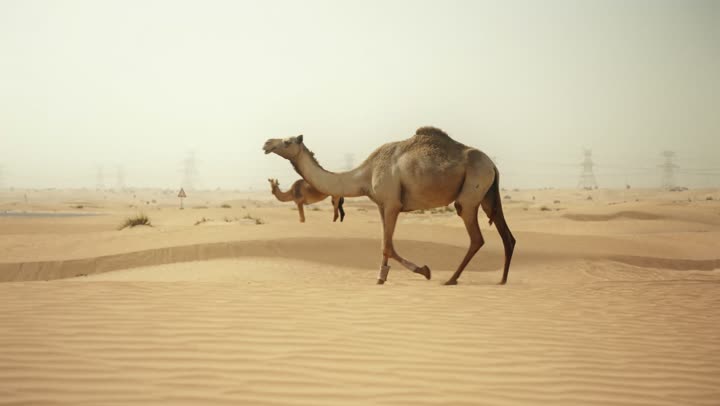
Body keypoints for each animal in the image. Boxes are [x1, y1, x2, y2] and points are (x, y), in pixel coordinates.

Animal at [263, 126, 516, 285]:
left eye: (287, 141)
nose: (266, 142)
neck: (364, 175)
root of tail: (492, 164)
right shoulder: (382, 205)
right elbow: (385, 245)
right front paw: (381, 277)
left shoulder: (393, 203)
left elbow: (388, 246)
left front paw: (424, 271)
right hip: (487, 194)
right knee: (506, 234)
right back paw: (502, 279)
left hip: (471, 190)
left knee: (476, 236)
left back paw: (451, 279)